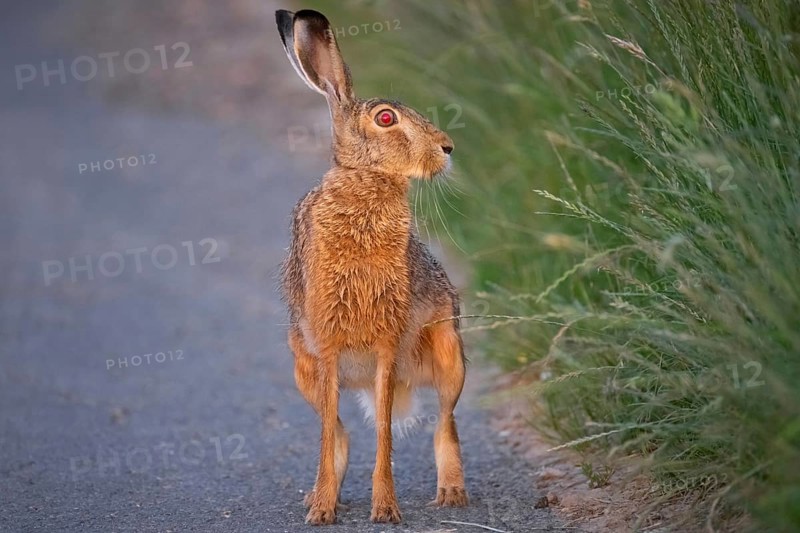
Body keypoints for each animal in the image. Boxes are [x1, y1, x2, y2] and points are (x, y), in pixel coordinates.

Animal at [275, 8, 468, 525]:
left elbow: (383, 430)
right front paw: (322, 511)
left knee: (445, 421)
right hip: (302, 367)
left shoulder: (388, 345)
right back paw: (319, 496)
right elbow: (331, 436)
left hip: (449, 354)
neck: (367, 182)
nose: (447, 148)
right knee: (338, 429)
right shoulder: (326, 346)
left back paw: (452, 494)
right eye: (386, 119)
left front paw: (385, 509)